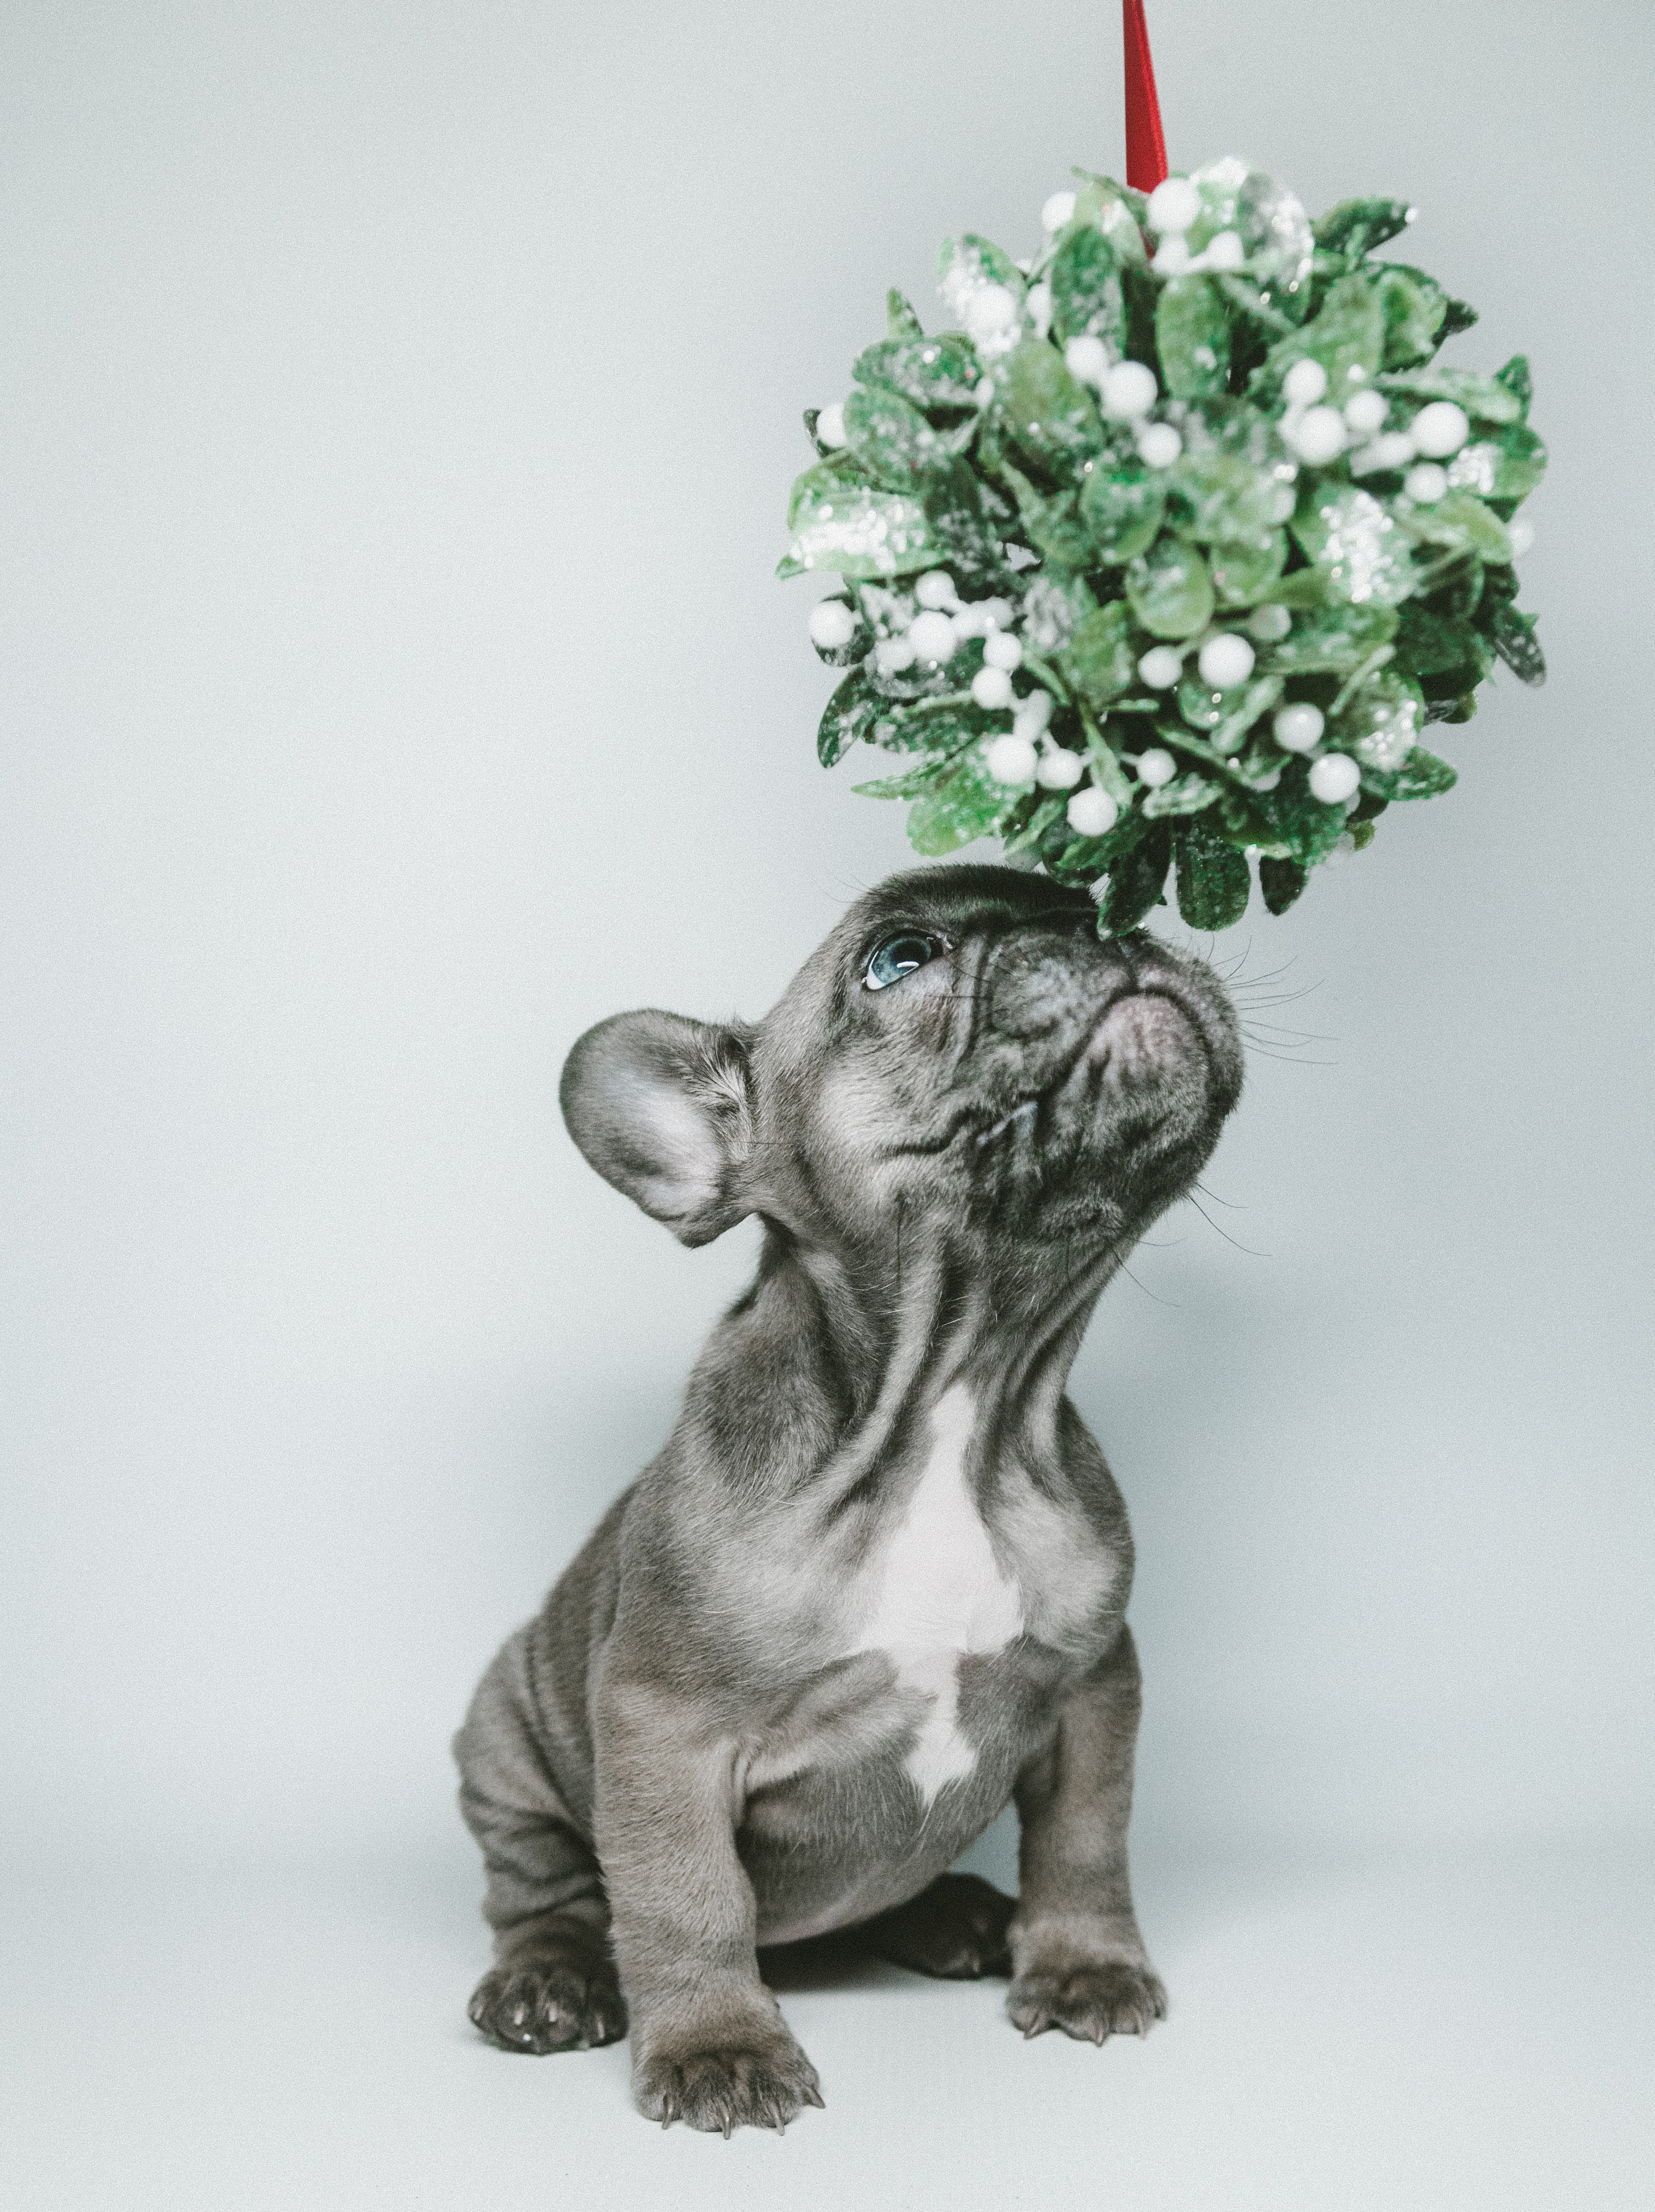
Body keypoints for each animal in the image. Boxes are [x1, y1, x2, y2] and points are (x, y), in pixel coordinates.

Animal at [453, 858, 1239, 2123]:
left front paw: (1083, 1962)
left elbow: (1085, 1834)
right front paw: (716, 2044)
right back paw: (548, 1984)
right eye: (897, 959)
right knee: (548, 1893)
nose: (1106, 923)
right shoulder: (663, 1728)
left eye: (1089, 891)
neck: (961, 1390)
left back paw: (958, 1913)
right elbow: (683, 1896)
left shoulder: (1093, 1685)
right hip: (507, 1735)